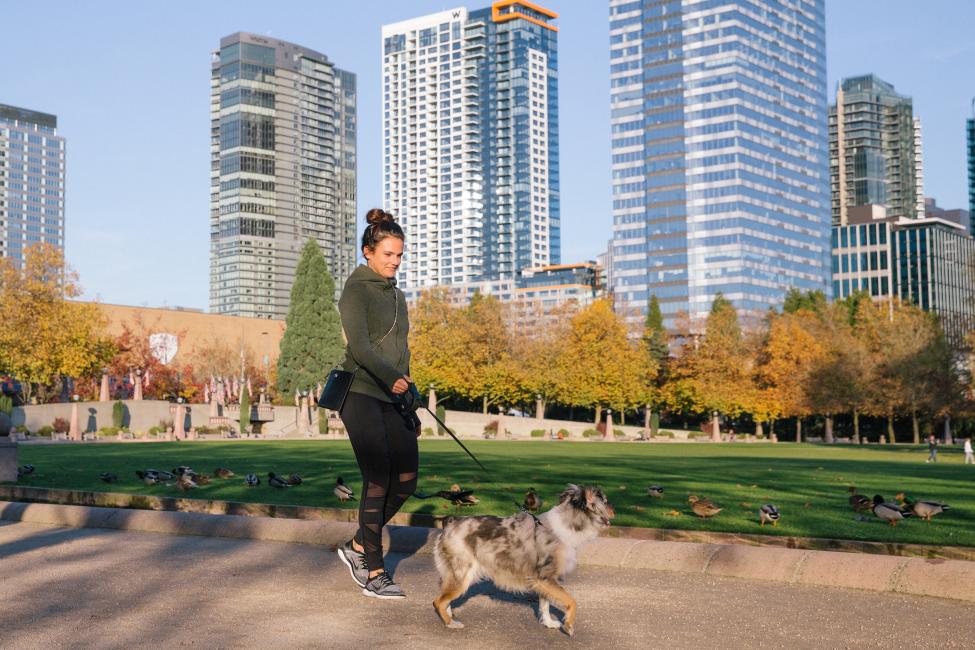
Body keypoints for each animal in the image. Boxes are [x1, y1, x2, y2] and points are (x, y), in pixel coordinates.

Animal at [432, 484, 612, 636]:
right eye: (605, 501)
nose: (614, 510)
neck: (567, 524)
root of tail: (450, 520)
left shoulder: (543, 580)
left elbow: (545, 603)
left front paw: (548, 622)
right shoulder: (546, 578)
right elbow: (572, 601)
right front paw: (568, 625)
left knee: (444, 599)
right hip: (462, 575)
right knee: (438, 602)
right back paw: (451, 623)